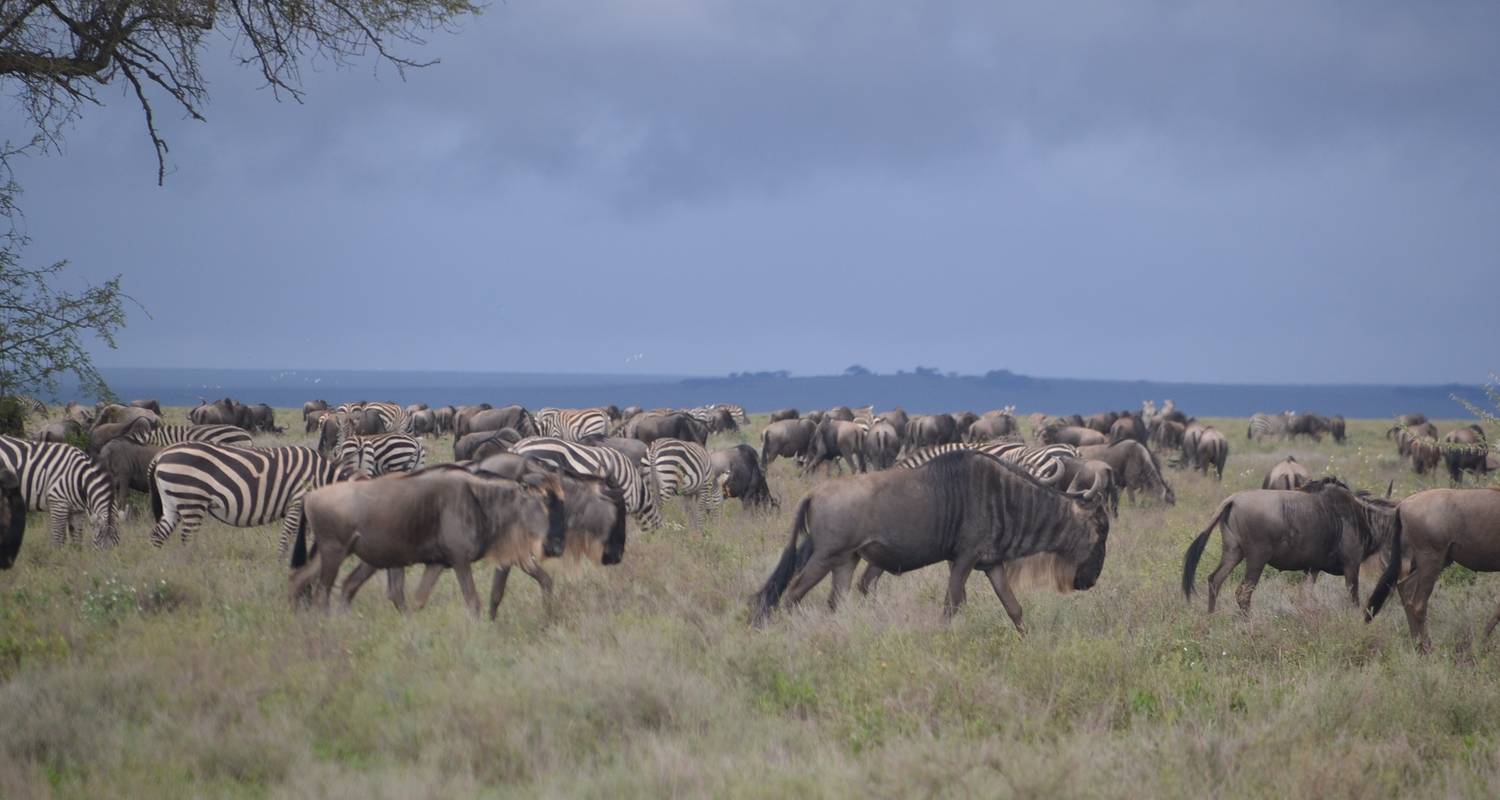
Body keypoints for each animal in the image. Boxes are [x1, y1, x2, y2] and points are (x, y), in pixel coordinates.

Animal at [146, 441, 345, 552]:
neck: (324, 478)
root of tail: (161, 455)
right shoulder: (297, 501)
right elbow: (288, 537)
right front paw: (283, 565)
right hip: (191, 500)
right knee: (186, 538)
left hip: (172, 502)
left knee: (158, 534)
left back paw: (162, 568)